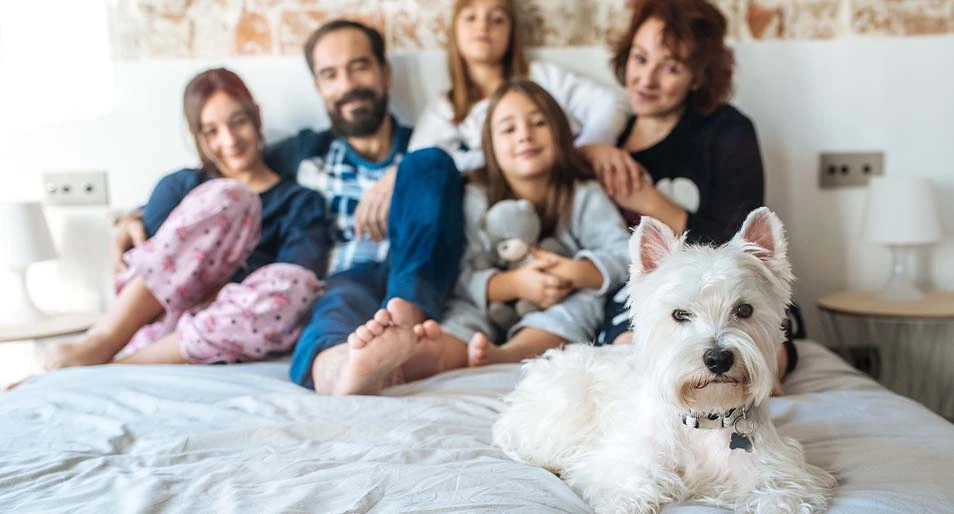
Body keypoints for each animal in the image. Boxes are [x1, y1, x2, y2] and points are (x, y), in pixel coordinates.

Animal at [490, 207, 832, 512]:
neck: (704, 416)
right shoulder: (622, 460)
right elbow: (627, 486)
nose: (718, 359)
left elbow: (780, 495)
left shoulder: (778, 470)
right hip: (566, 400)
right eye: (679, 314)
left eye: (744, 309)